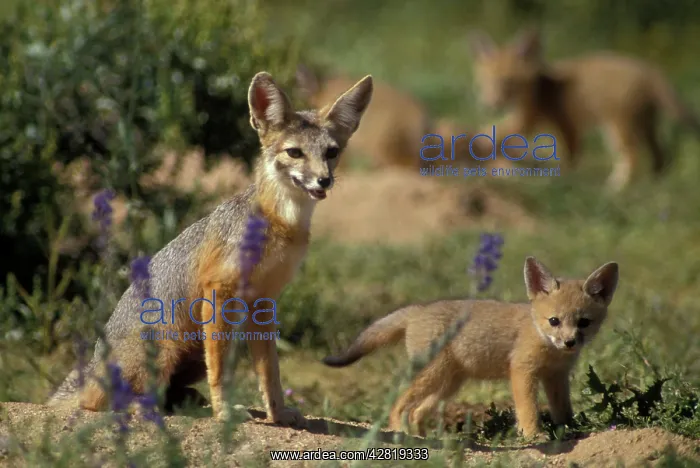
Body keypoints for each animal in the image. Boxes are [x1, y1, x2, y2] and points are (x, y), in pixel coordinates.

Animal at [47, 71, 374, 427]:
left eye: (331, 152)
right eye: (295, 153)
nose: (323, 181)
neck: (281, 224)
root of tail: (93, 367)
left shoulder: (264, 302)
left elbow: (270, 372)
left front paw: (278, 413)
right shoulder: (219, 290)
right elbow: (220, 368)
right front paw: (225, 411)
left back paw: (191, 403)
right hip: (168, 345)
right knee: (118, 403)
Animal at [323, 256, 619, 438]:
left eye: (584, 323)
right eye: (554, 321)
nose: (569, 342)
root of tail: (419, 309)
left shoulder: (556, 377)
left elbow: (563, 410)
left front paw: (572, 429)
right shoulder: (522, 371)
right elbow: (528, 409)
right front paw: (533, 434)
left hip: (448, 384)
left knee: (416, 411)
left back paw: (424, 438)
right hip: (433, 376)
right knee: (398, 405)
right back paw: (400, 434)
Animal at [467, 29, 700, 191]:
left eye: (507, 82)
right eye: (485, 81)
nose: (488, 104)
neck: (539, 88)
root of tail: (649, 68)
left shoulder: (542, 123)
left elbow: (494, 132)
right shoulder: (564, 127)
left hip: (617, 128)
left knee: (632, 157)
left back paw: (615, 189)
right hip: (646, 126)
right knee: (662, 156)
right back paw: (654, 186)